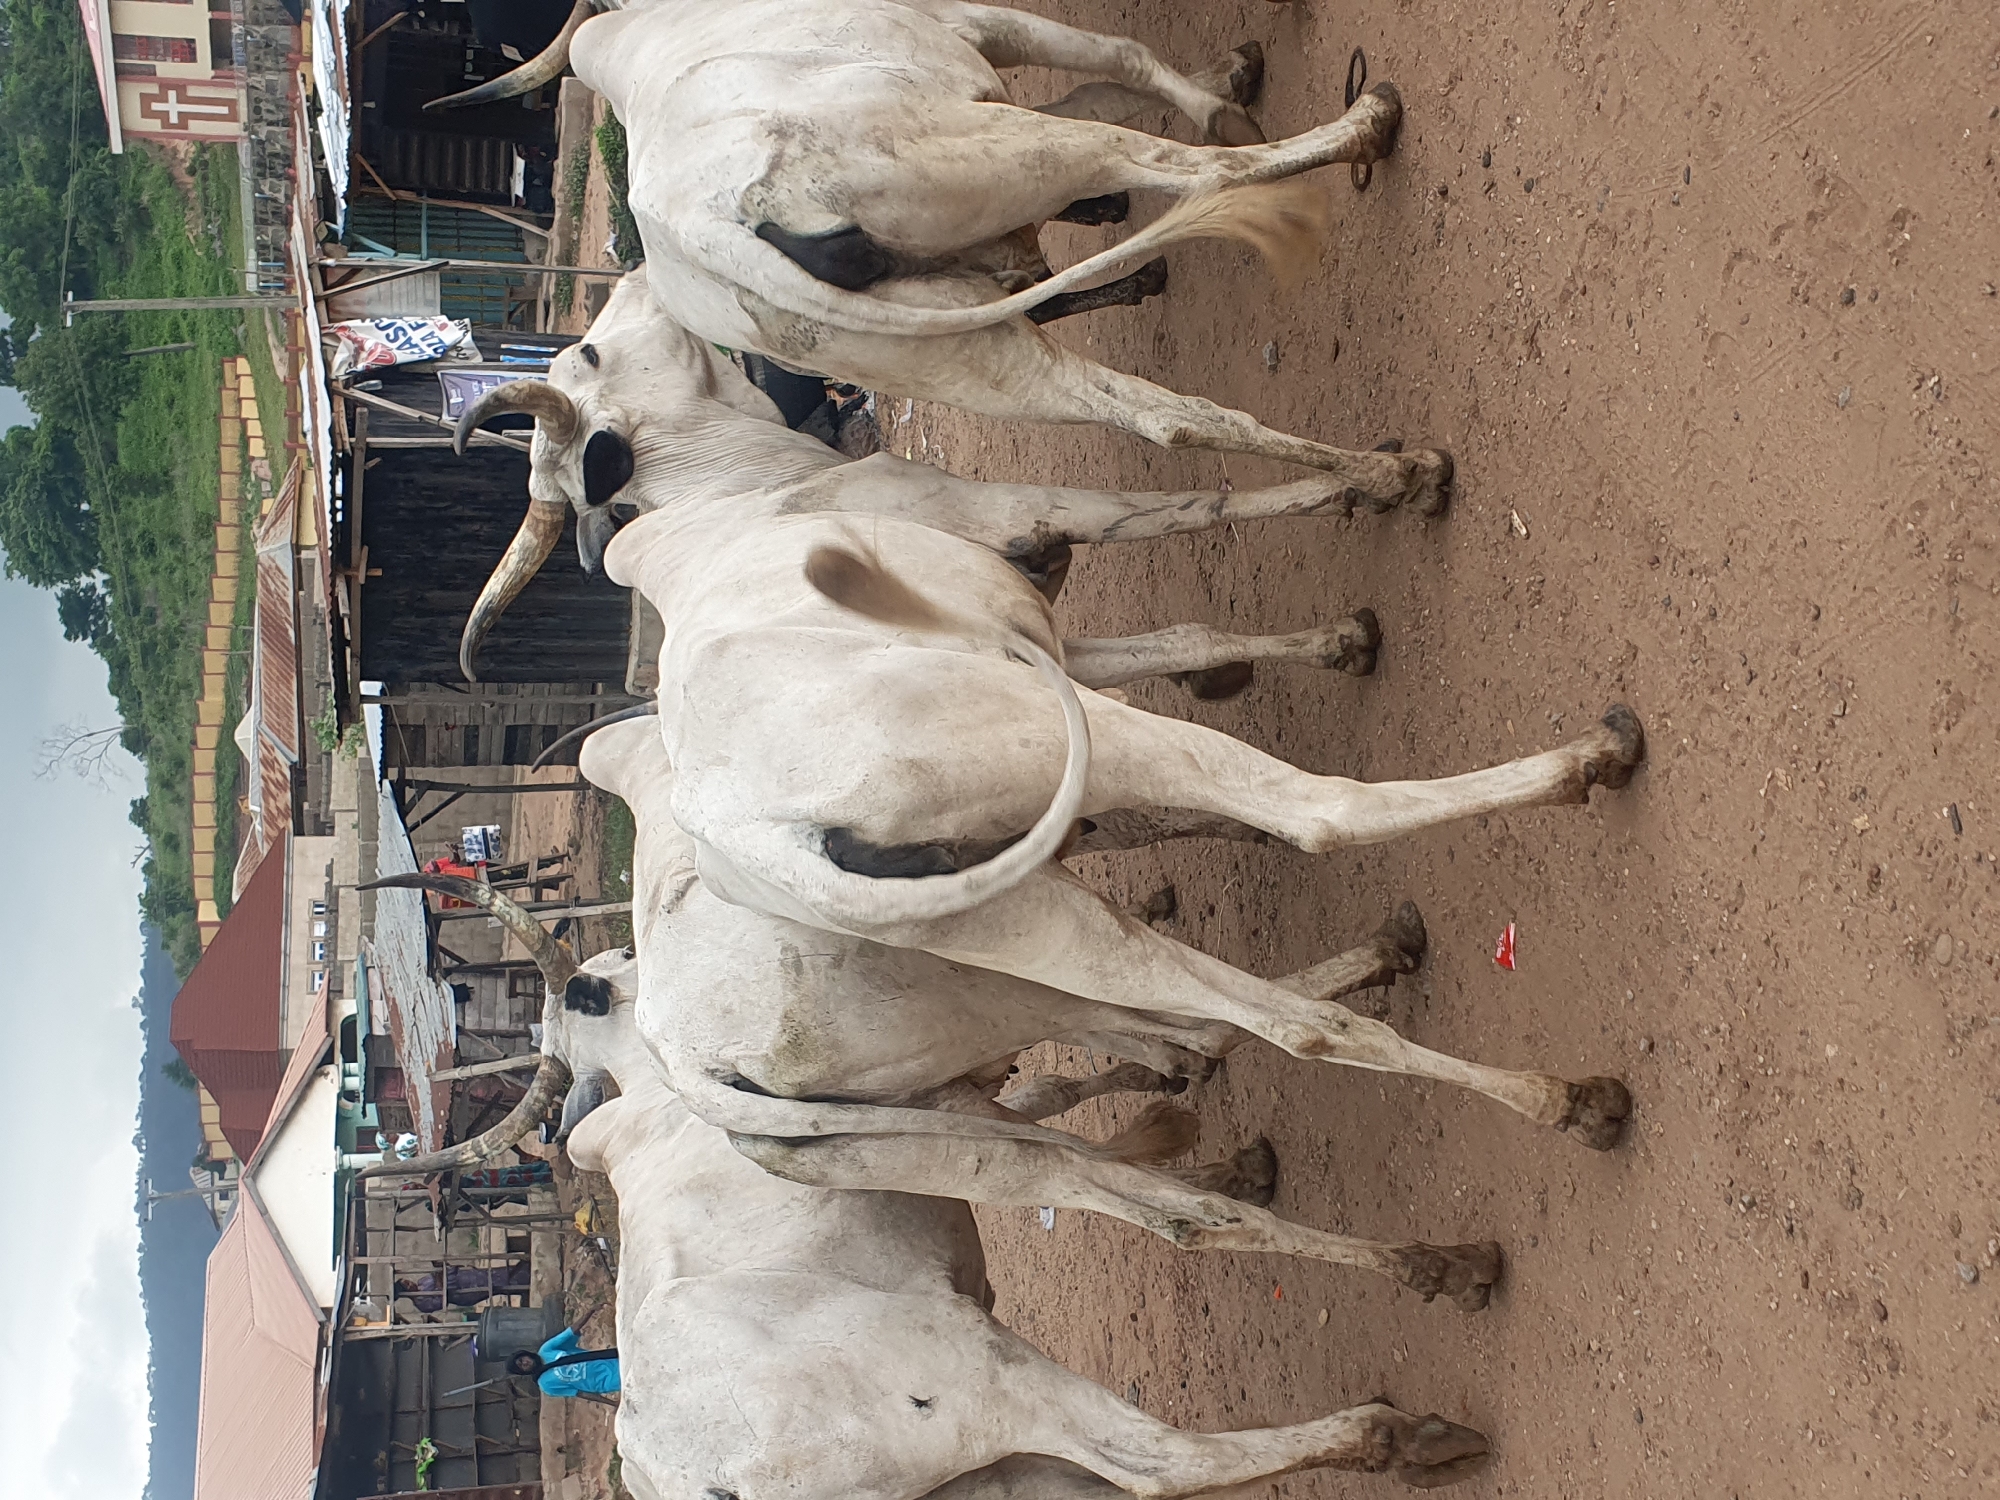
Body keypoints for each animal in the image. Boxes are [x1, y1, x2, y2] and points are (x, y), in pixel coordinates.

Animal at [362, 927, 1495, 1495]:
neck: (652, 1087)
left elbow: (1087, 1098)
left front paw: (1195, 1138)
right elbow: (1162, 1125)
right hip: (974, 1375)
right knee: (1159, 1463)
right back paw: (1401, 1423)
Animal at [429, 0, 1454, 503]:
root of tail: (713, 233)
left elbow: (1102, 82)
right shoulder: (975, 25)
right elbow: (1119, 62)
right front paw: (1226, 83)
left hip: (955, 352)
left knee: (1159, 417)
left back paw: (1390, 475)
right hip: (1007, 150)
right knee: (1192, 168)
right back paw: (1360, 126)